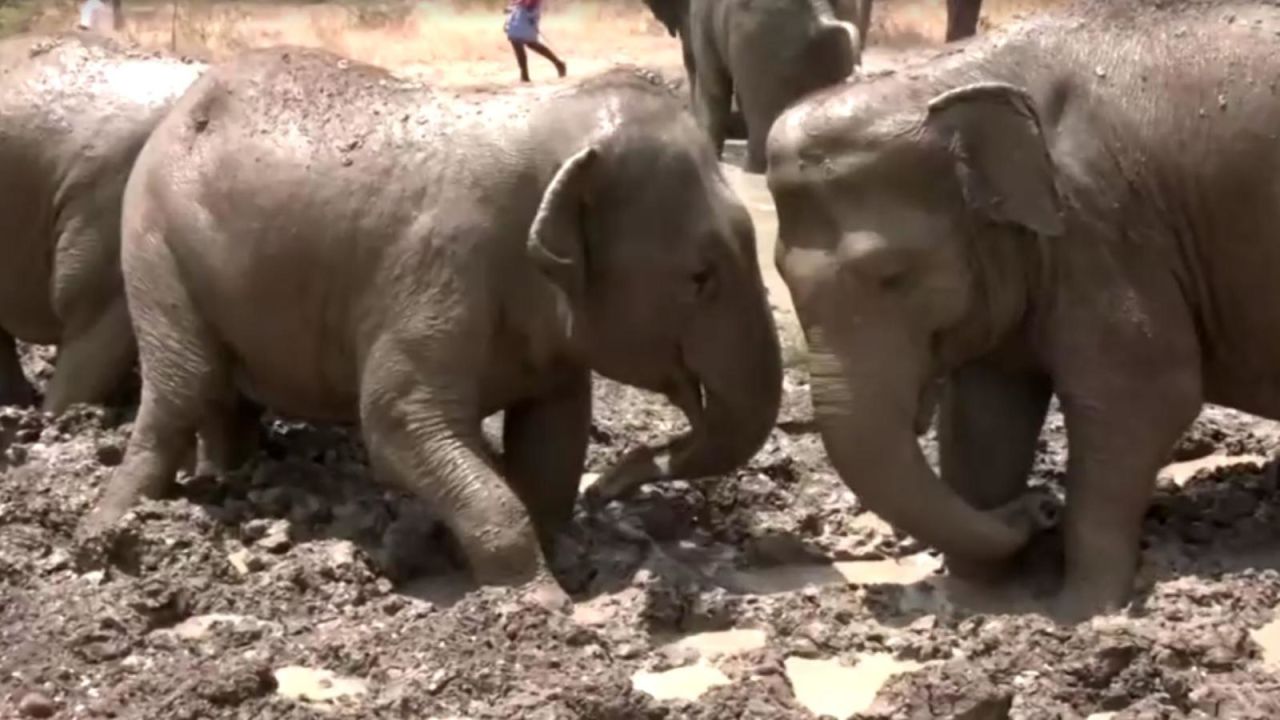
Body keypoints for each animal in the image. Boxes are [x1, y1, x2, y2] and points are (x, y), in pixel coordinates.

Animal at [85, 47, 783, 602]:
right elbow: (398, 421)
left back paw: (231, 483)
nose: (608, 488)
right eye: (700, 277)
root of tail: (179, 108)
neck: (554, 124)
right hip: (153, 244)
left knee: (222, 397)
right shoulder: (437, 266)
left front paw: (560, 555)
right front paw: (539, 602)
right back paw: (110, 528)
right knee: (184, 386)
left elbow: (553, 435)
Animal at [762, 1, 1280, 617]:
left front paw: (1081, 614)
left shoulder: (1105, 226)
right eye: (780, 273)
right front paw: (978, 599)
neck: (943, 85)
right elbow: (986, 412)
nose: (1042, 505)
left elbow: (1145, 399)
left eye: (895, 275)